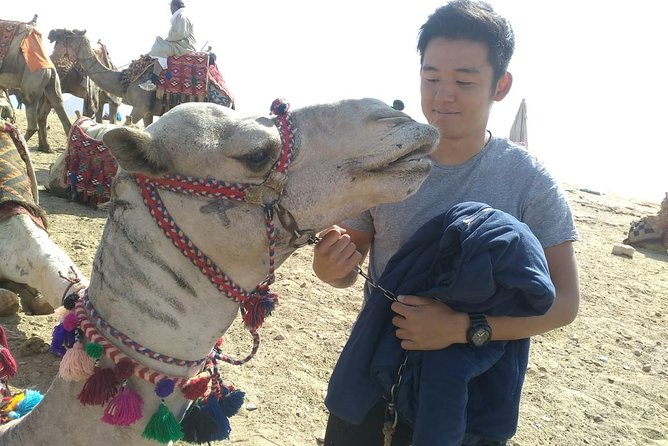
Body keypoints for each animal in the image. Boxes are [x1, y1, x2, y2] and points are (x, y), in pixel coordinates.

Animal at [0, 18, 71, 151]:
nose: (52, 33)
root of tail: (49, 67)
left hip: (32, 82)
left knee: (32, 121)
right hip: (52, 83)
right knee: (60, 108)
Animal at [48, 29, 234, 127]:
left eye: (69, 32)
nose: (52, 33)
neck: (125, 80)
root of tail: (230, 98)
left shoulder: (140, 106)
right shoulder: (148, 111)